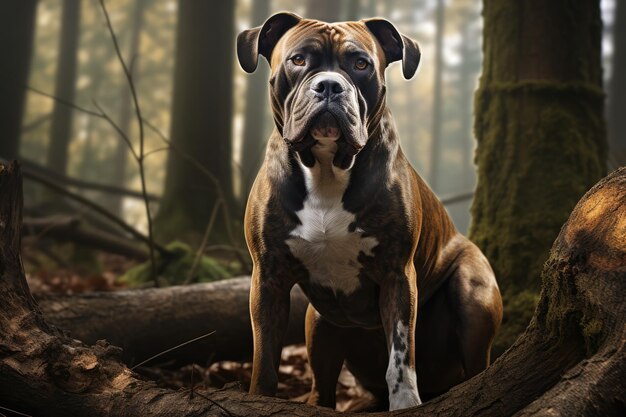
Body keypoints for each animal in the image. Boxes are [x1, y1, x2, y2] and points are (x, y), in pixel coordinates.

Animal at [235, 13, 502, 410]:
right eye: (298, 60)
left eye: (361, 64)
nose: (329, 86)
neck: (327, 168)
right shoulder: (268, 278)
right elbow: (265, 358)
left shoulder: (396, 275)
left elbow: (401, 358)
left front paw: (405, 403)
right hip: (318, 323)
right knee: (323, 387)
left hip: (473, 292)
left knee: (474, 363)